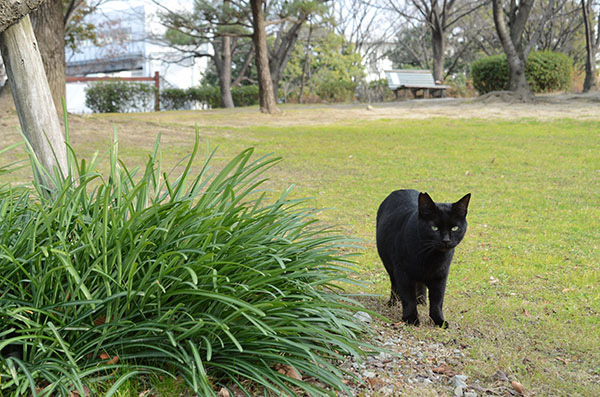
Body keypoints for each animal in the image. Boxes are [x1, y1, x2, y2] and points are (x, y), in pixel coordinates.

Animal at [376, 190, 468, 326]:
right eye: (434, 228)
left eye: (455, 228)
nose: (446, 240)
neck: (430, 257)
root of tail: (400, 190)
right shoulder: (403, 273)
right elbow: (408, 298)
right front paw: (411, 318)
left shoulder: (441, 275)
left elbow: (437, 301)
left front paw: (438, 320)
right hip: (389, 265)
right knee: (394, 285)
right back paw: (393, 302)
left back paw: (421, 301)